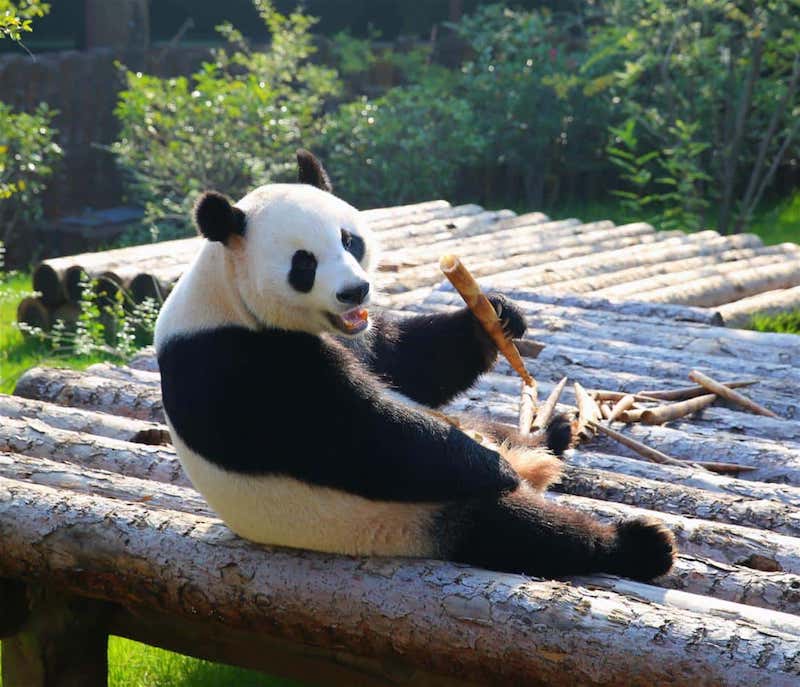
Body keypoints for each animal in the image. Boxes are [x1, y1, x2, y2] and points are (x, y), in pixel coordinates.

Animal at [154, 149, 676, 582]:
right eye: (304, 264)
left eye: (349, 241)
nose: (355, 292)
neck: (228, 292)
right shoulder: (240, 362)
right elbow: (359, 434)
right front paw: (494, 468)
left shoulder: (354, 338)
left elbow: (403, 361)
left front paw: (496, 315)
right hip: (404, 519)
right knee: (521, 530)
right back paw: (636, 543)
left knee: (485, 431)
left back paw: (549, 437)